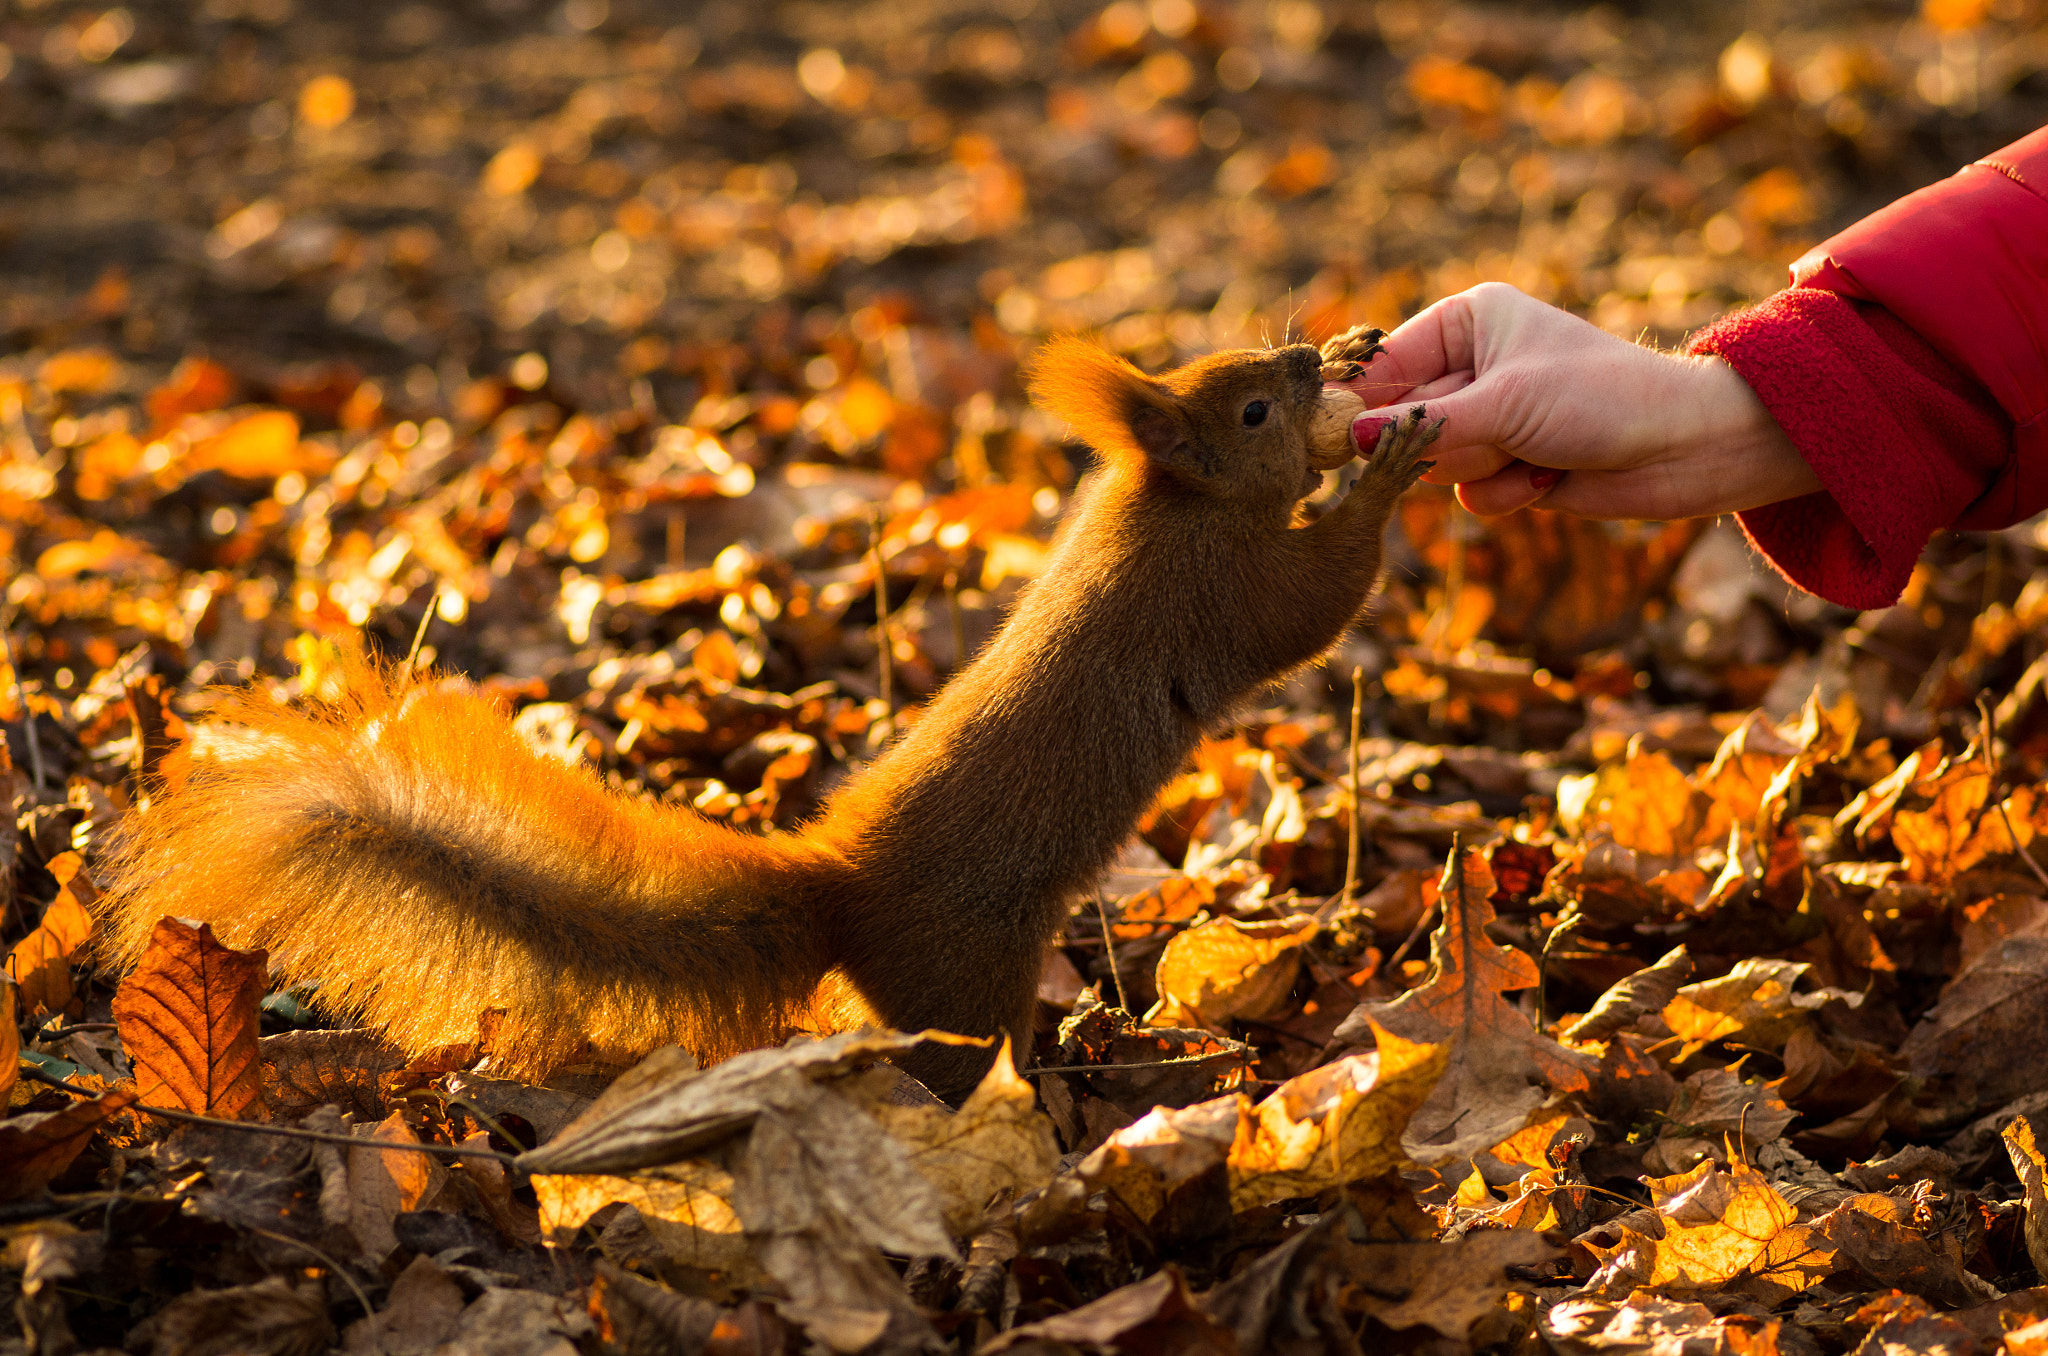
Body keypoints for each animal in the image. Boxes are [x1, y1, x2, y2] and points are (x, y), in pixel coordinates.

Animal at [99, 331, 1441, 1106]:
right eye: (1252, 412)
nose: (1314, 362)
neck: (1163, 500)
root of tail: (841, 893)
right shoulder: (1222, 592)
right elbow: (1311, 607)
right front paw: (1385, 469)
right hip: (966, 976)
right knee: (955, 1060)